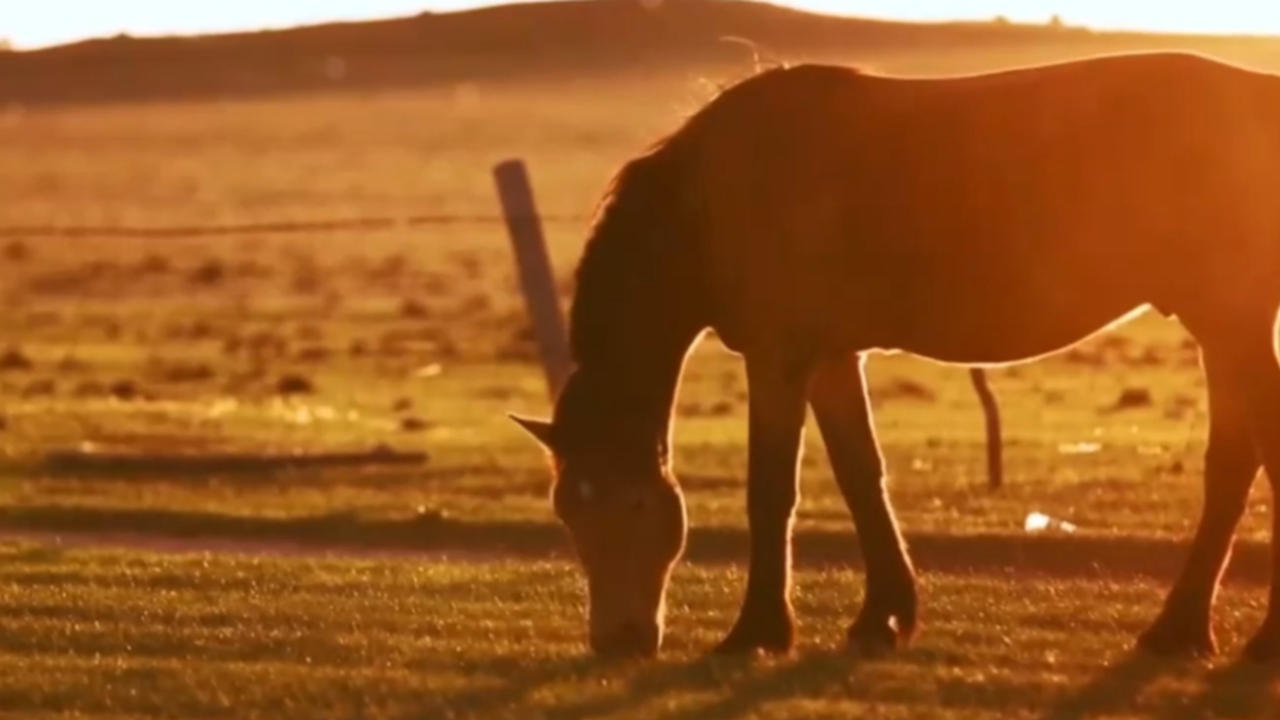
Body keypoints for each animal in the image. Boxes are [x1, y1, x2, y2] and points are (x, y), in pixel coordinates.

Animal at [509, 47, 1280, 661]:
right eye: (568, 512)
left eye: (638, 504)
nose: (619, 642)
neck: (710, 198)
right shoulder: (829, 358)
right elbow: (861, 478)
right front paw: (883, 616)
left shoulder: (778, 357)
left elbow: (771, 491)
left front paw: (758, 630)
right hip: (1226, 329)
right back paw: (1181, 630)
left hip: (1230, 322)